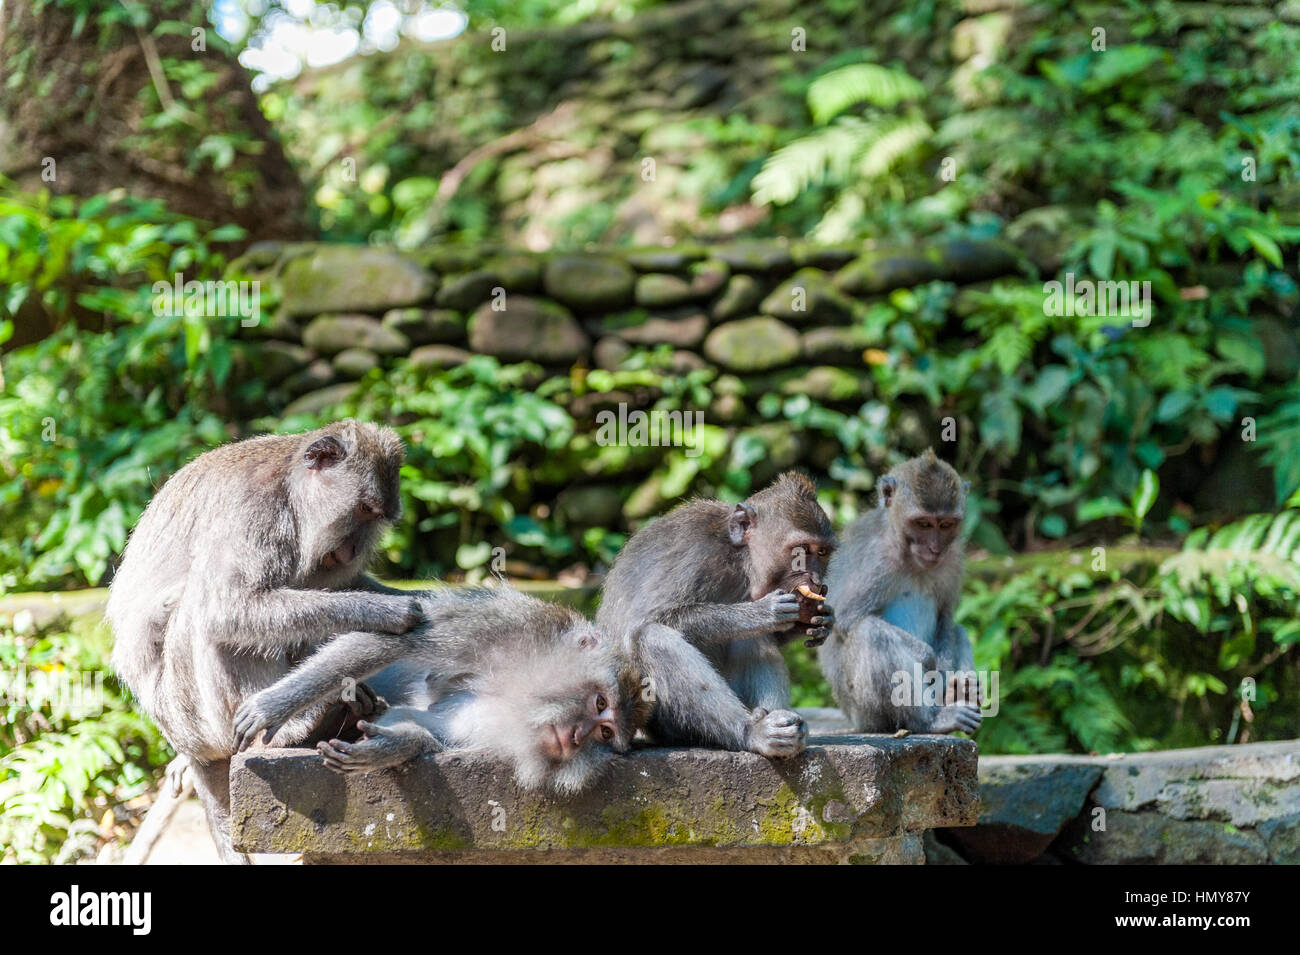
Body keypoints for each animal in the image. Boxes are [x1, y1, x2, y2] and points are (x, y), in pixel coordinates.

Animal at [108, 420, 421, 862]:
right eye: (363, 509)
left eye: (377, 518)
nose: (353, 550)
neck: (290, 495)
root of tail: (182, 741)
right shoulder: (252, 511)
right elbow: (226, 607)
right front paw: (385, 612)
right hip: (189, 715)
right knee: (204, 615)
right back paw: (295, 729)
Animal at [595, 475, 837, 758]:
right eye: (801, 550)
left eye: (822, 553)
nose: (817, 582)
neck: (740, 559)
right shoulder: (696, 555)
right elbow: (648, 620)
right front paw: (761, 612)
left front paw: (822, 621)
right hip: (661, 718)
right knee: (652, 638)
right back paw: (751, 733)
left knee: (754, 640)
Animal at [816, 452, 977, 738]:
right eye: (923, 523)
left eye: (945, 524)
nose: (934, 549)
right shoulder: (877, 558)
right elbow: (847, 618)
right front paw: (928, 657)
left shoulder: (953, 559)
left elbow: (946, 617)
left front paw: (947, 678)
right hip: (865, 712)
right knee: (870, 632)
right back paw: (929, 721)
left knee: (957, 630)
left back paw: (954, 694)